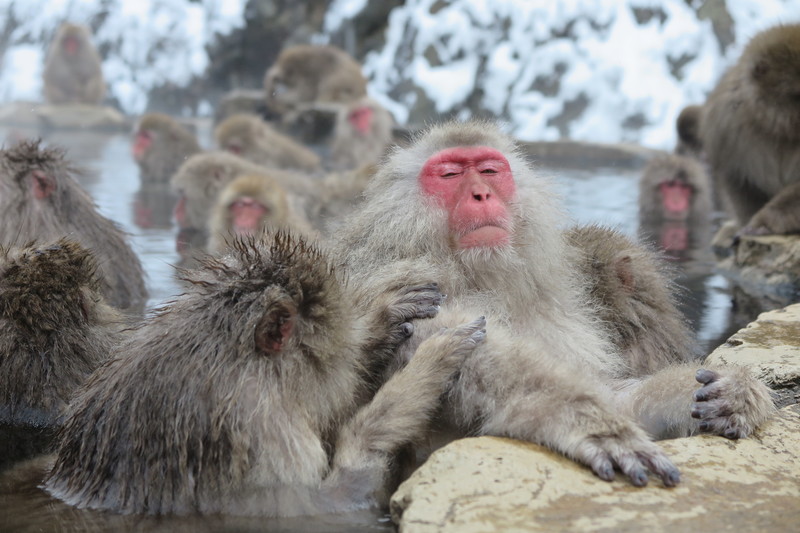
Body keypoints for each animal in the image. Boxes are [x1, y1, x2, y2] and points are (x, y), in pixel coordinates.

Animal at [45, 233, 488, 516]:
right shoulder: (264, 432)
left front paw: (382, 320)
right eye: (336, 363)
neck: (227, 358)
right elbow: (319, 509)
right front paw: (430, 364)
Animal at [332, 120, 776, 486]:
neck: (484, 275)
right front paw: (585, 422)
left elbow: (617, 395)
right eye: (450, 174)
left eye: (490, 171)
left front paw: (734, 391)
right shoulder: (394, 276)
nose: (481, 194)